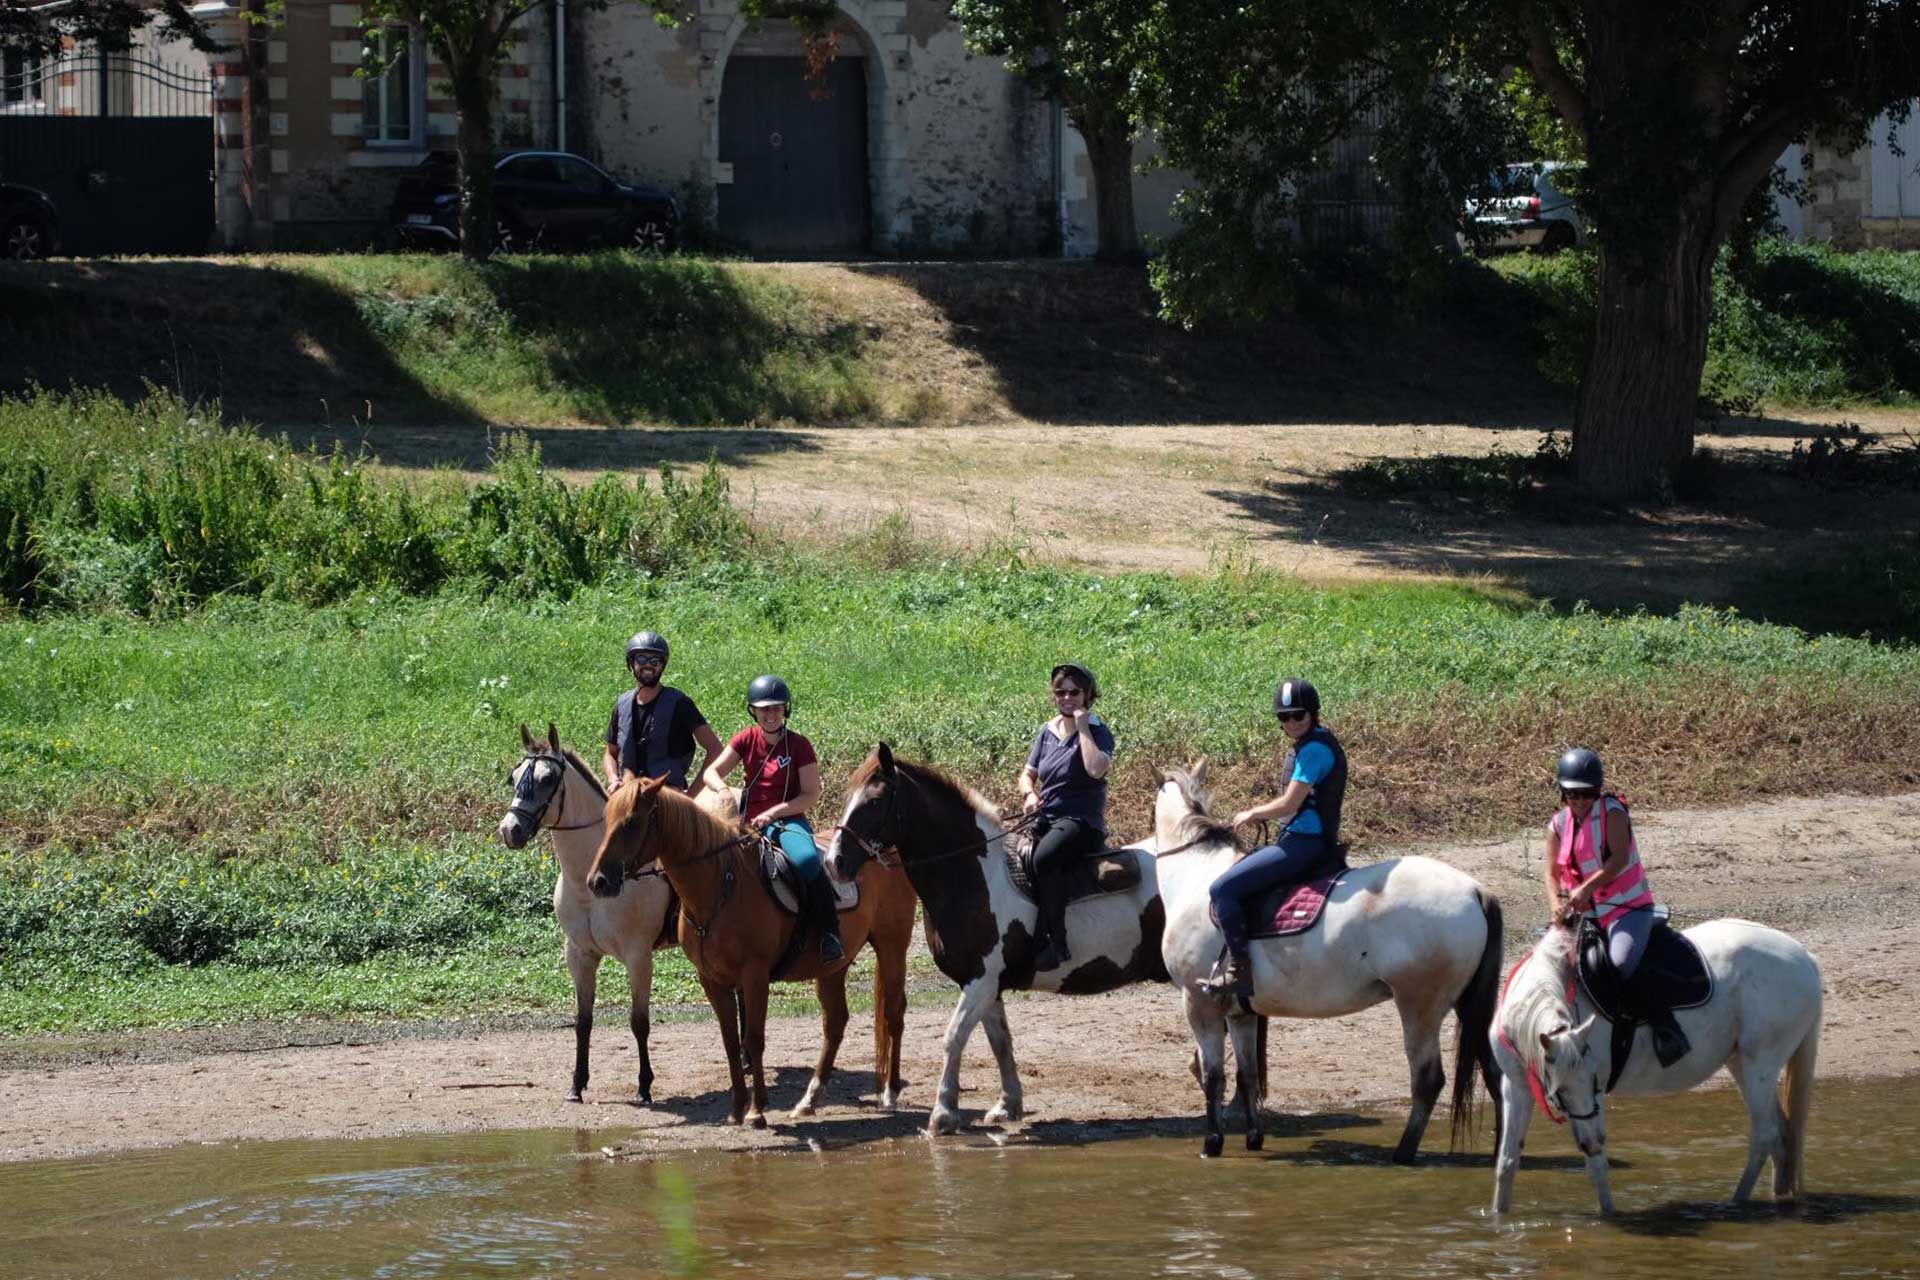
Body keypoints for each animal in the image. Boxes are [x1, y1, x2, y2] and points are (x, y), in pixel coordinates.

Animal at [583, 775, 913, 1128]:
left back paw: (890, 1092)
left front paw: (756, 1111)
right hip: (833, 968)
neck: (720, 886)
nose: (598, 881)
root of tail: (885, 849)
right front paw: (737, 1108)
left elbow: (753, 1039)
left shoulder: (754, 976)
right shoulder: (712, 981)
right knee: (835, 1023)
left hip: (892, 945)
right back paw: (808, 1101)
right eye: (606, 820)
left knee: (894, 1013)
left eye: (632, 822)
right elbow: (730, 1041)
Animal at [1144, 767, 1505, 1166]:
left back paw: (1404, 1153)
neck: (1196, 877)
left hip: (1420, 1007)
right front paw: (1253, 1138)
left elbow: (1214, 1076)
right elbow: (1248, 1074)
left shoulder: (1200, 1002)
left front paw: (1212, 1143)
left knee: (1428, 1080)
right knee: (1495, 1073)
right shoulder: (1240, 1012)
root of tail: (1474, 890)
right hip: (1467, 1004)